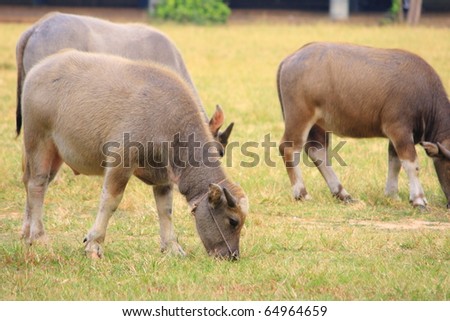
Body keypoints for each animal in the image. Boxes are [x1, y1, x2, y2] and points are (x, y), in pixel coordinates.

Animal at [18, 50, 250, 260]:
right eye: (233, 221)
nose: (232, 255)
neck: (168, 122)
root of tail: (39, 69)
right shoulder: (121, 162)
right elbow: (110, 201)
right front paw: (94, 245)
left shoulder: (163, 177)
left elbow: (166, 210)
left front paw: (172, 247)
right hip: (38, 140)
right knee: (37, 184)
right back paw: (39, 236)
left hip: (56, 153)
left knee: (34, 183)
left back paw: (27, 233)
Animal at [278, 42, 450, 208]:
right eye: (449, 166)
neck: (427, 97)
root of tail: (289, 59)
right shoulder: (399, 129)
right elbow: (411, 165)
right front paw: (418, 199)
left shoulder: (397, 136)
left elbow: (394, 162)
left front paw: (392, 195)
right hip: (299, 116)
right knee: (289, 148)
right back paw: (302, 194)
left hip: (319, 124)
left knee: (317, 151)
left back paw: (343, 194)